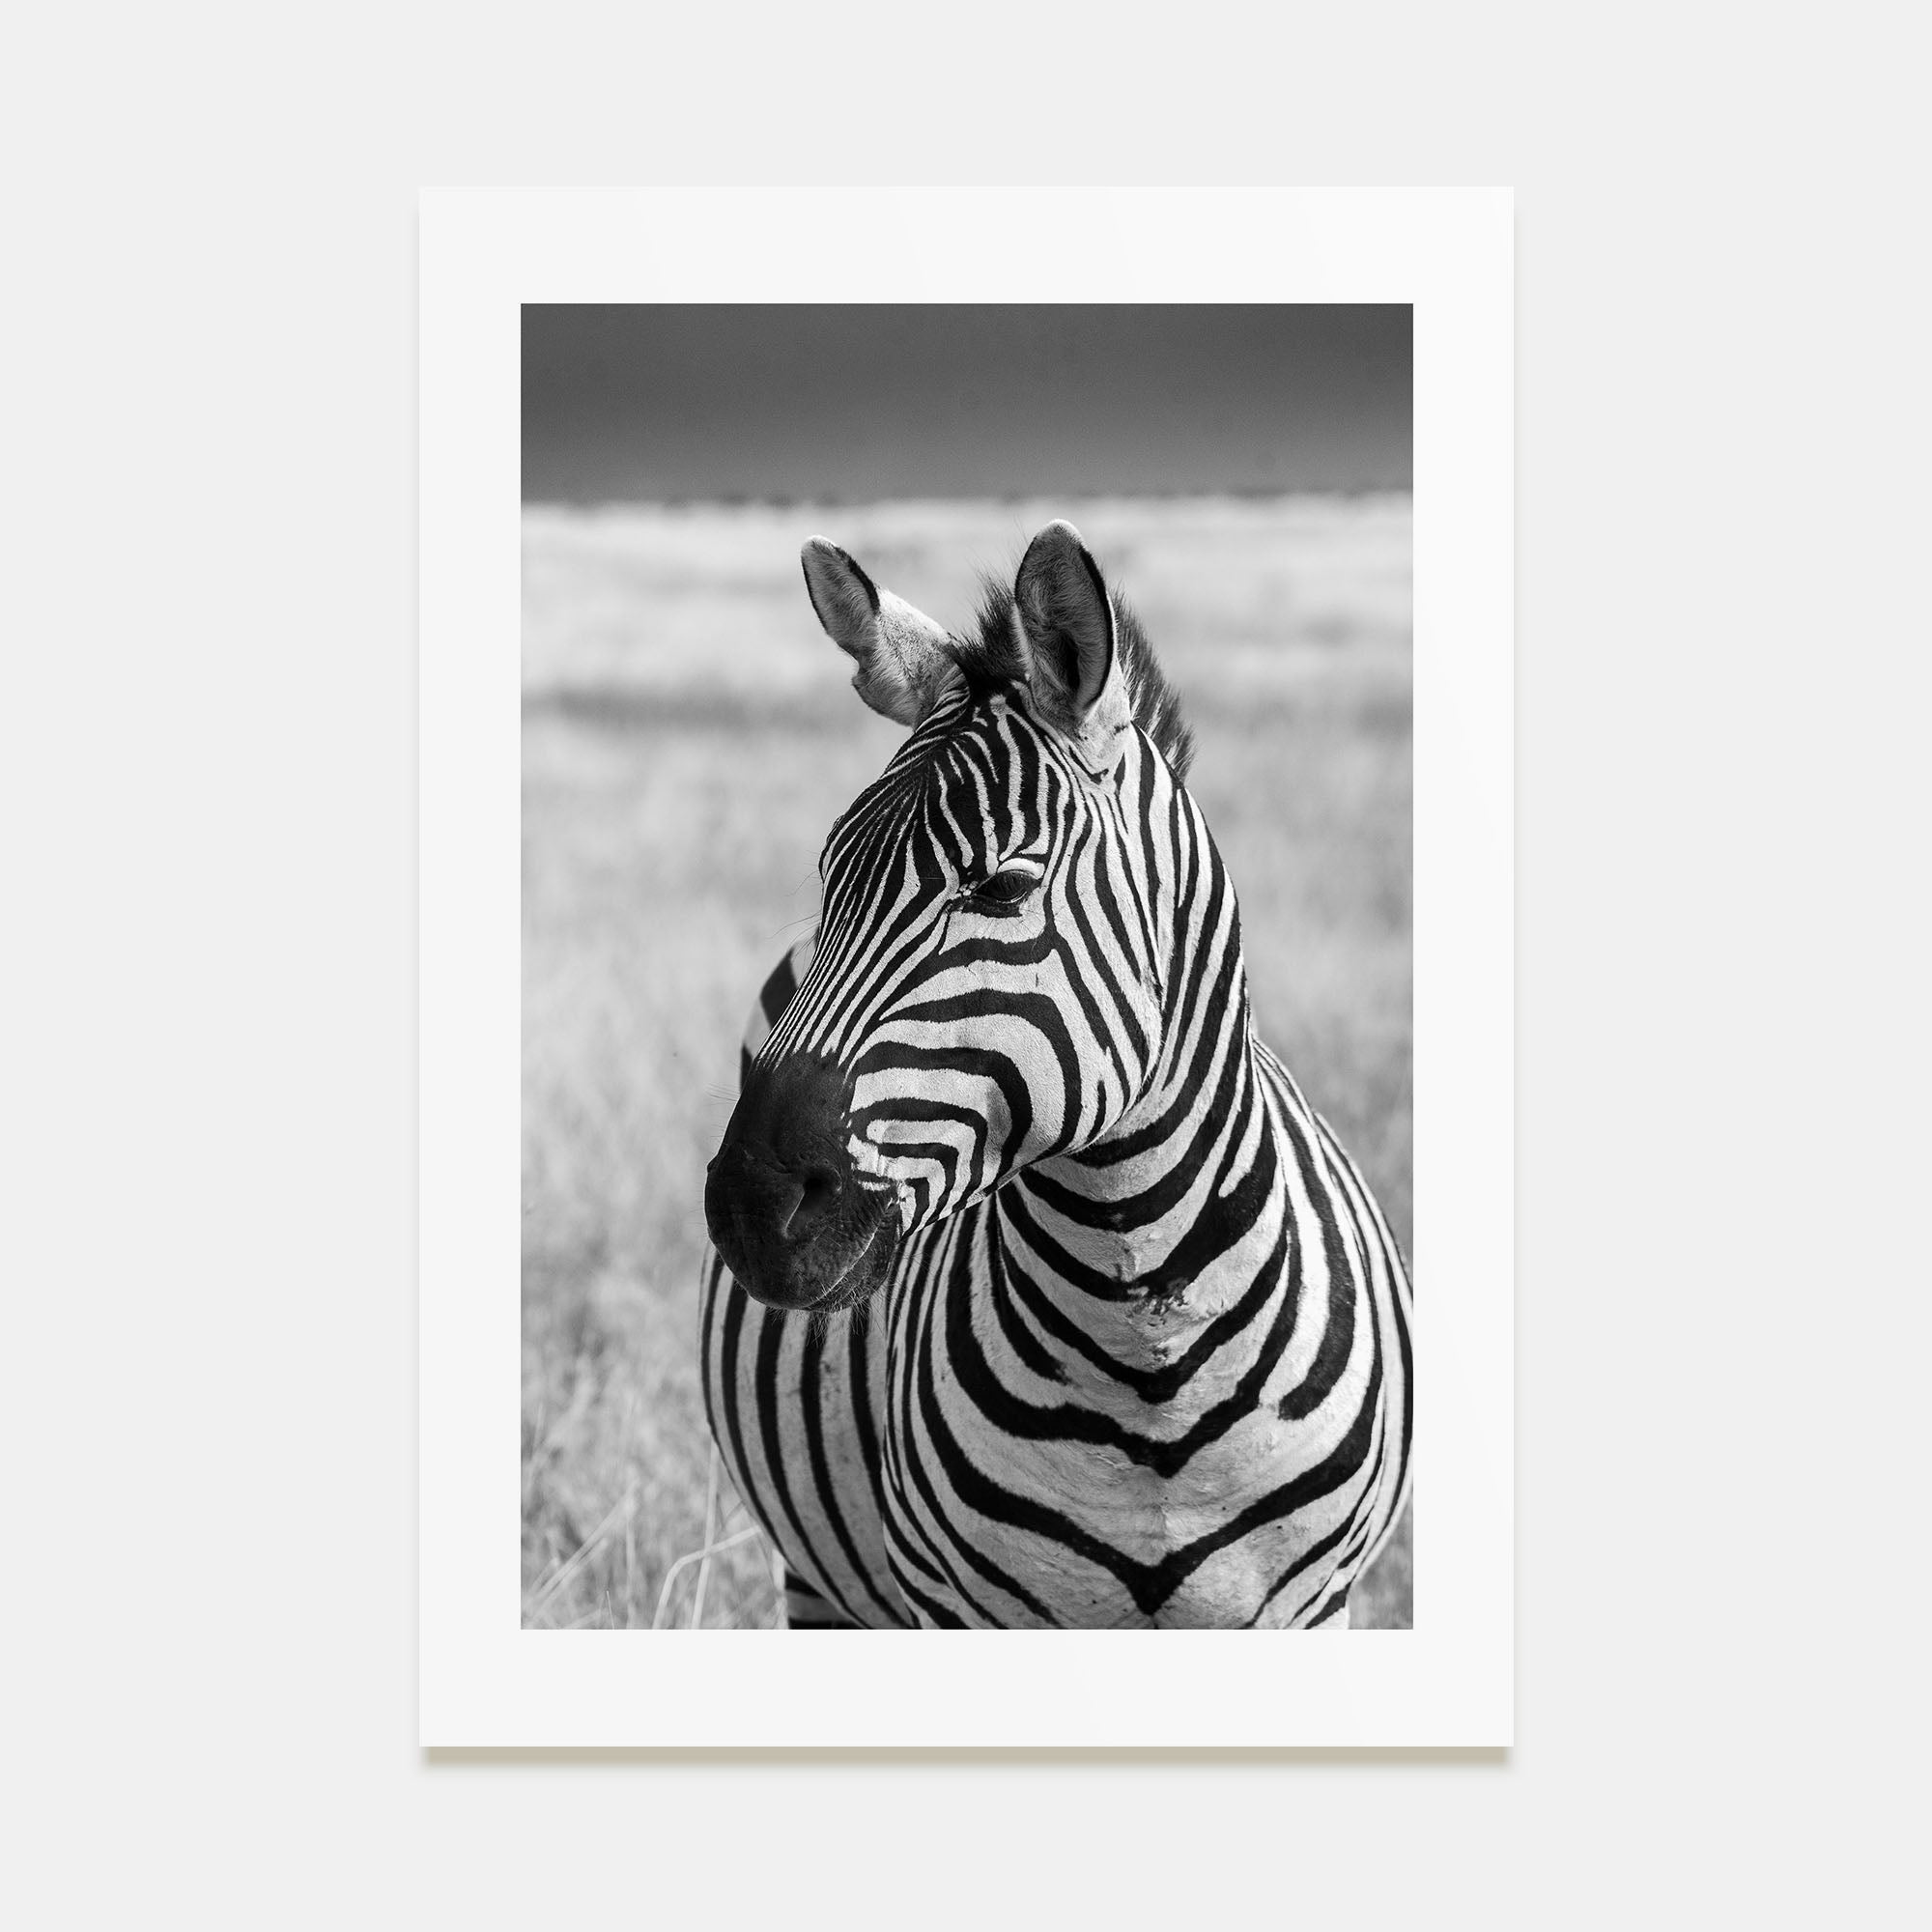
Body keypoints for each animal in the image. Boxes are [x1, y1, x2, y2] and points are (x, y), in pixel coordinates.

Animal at [698, 520, 1412, 1629]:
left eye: (1000, 886)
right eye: (828, 878)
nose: (749, 1204)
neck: (1147, 1354)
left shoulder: (1314, 1603)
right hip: (819, 1579)